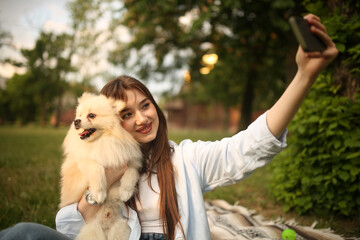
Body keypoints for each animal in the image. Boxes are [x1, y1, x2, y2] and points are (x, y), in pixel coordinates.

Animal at [59, 92, 143, 240]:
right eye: (79, 115)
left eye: (91, 115)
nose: (76, 121)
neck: (103, 140)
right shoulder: (84, 161)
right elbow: (97, 169)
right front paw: (99, 193)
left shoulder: (130, 163)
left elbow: (132, 173)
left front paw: (125, 191)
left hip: (119, 230)